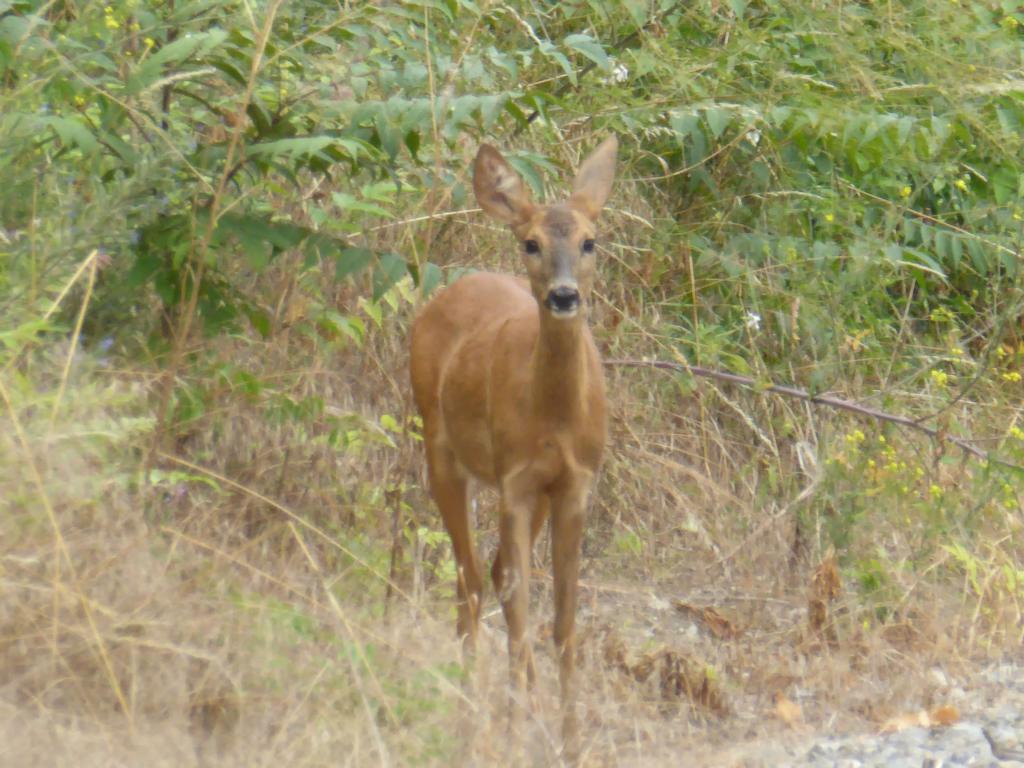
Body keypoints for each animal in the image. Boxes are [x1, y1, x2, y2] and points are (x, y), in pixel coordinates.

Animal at [407, 137, 614, 757]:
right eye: (531, 243)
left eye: (590, 241)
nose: (565, 295)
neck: (555, 419)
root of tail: (457, 284)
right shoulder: (515, 480)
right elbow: (522, 615)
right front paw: (515, 737)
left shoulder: (573, 485)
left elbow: (563, 622)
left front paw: (570, 745)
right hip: (441, 451)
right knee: (472, 583)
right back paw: (472, 721)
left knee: (489, 579)